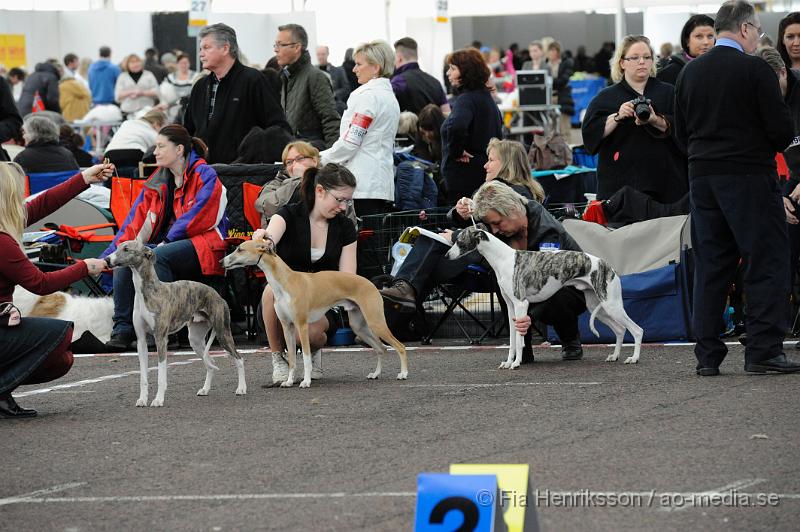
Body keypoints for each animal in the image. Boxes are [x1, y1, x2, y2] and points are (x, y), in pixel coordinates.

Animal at [104, 241, 245, 408]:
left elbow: (161, 375)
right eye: (118, 247)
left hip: (223, 333)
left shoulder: (160, 339)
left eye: (126, 249)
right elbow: (143, 376)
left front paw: (158, 400)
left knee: (239, 359)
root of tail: (219, 296)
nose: (106, 260)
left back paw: (241, 388)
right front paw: (143, 399)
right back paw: (205, 389)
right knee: (211, 362)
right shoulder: (141, 341)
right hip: (195, 340)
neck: (148, 291)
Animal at [222, 239, 410, 388]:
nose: (221, 261)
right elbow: (292, 358)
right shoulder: (287, 327)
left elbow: (305, 356)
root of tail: (371, 283)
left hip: (375, 322)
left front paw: (306, 381)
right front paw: (289, 381)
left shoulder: (302, 325)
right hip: (359, 326)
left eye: (240, 249)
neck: (285, 282)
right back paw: (376, 374)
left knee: (399, 346)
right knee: (381, 348)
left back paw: (403, 374)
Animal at [450, 228, 644, 370]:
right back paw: (615, 356)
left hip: (611, 305)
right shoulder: (510, 307)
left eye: (459, 241)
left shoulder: (521, 304)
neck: (504, 258)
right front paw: (508, 361)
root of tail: (609, 266)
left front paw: (516, 363)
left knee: (637, 330)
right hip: (598, 306)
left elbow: (519, 340)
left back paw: (634, 358)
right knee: (620, 330)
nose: (447, 256)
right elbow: (512, 341)